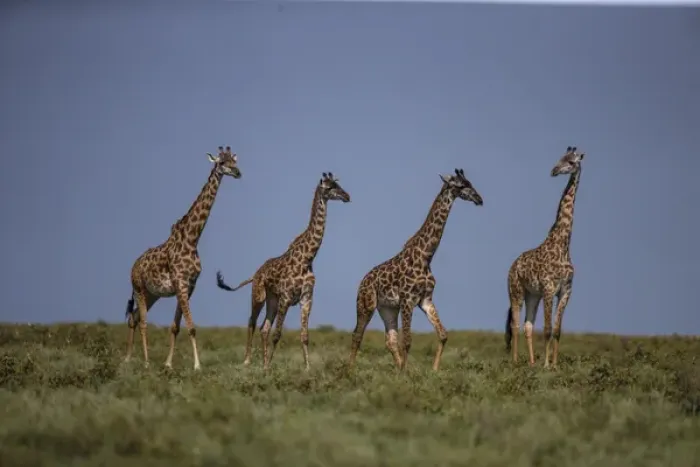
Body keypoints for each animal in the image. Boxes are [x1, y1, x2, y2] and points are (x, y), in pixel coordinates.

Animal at [124, 146, 242, 370]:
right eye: (222, 162)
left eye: (234, 160)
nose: (238, 172)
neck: (192, 238)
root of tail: (133, 265)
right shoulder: (180, 283)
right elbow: (191, 327)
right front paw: (197, 366)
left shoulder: (190, 285)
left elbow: (176, 327)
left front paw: (168, 363)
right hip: (139, 288)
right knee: (142, 322)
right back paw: (145, 362)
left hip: (153, 294)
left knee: (133, 318)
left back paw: (127, 358)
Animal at [215, 171, 350, 370]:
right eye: (329, 187)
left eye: (338, 185)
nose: (346, 196)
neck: (307, 258)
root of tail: (255, 274)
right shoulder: (286, 297)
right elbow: (277, 335)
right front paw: (269, 366)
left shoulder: (306, 298)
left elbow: (304, 336)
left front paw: (307, 367)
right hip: (259, 295)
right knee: (252, 322)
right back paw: (247, 361)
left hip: (272, 300)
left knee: (264, 328)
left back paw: (263, 362)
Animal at [349, 169, 483, 371]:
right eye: (461, 185)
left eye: (470, 183)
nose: (479, 199)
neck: (426, 256)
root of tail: (363, 281)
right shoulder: (407, 300)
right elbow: (407, 341)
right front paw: (406, 373)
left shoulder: (425, 299)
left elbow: (443, 334)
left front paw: (433, 370)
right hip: (366, 304)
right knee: (357, 335)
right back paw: (348, 369)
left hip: (387, 308)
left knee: (390, 340)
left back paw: (396, 368)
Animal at [505, 146, 585, 369]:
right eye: (560, 158)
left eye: (572, 162)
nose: (554, 170)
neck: (563, 245)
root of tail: (513, 265)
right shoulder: (550, 288)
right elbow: (548, 329)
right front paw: (547, 365)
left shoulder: (566, 291)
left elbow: (557, 330)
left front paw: (555, 364)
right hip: (516, 291)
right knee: (515, 325)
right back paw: (515, 361)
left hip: (533, 295)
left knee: (528, 325)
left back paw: (532, 362)